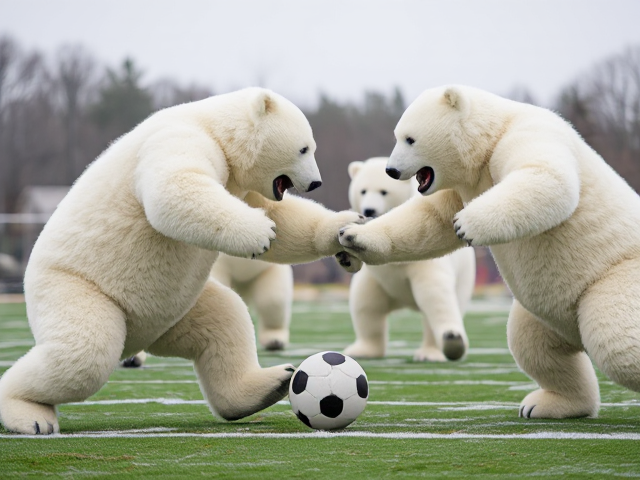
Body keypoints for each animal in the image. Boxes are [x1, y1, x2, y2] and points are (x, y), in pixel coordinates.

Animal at [0, 87, 363, 435]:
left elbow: (282, 217)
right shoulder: (180, 140)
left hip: (175, 313)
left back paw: (269, 383)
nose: (316, 182)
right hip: (74, 288)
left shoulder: (239, 182)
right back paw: (32, 417)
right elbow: (175, 186)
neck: (215, 128)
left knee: (224, 322)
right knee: (85, 353)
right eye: (304, 148)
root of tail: (137, 339)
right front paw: (260, 233)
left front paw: (347, 231)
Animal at [344, 157, 476, 362]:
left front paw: (452, 339)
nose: (369, 209)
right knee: (366, 305)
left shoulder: (425, 263)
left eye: (384, 191)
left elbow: (435, 294)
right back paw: (362, 350)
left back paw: (435, 350)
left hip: (464, 276)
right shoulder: (375, 275)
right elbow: (366, 303)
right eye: (363, 190)